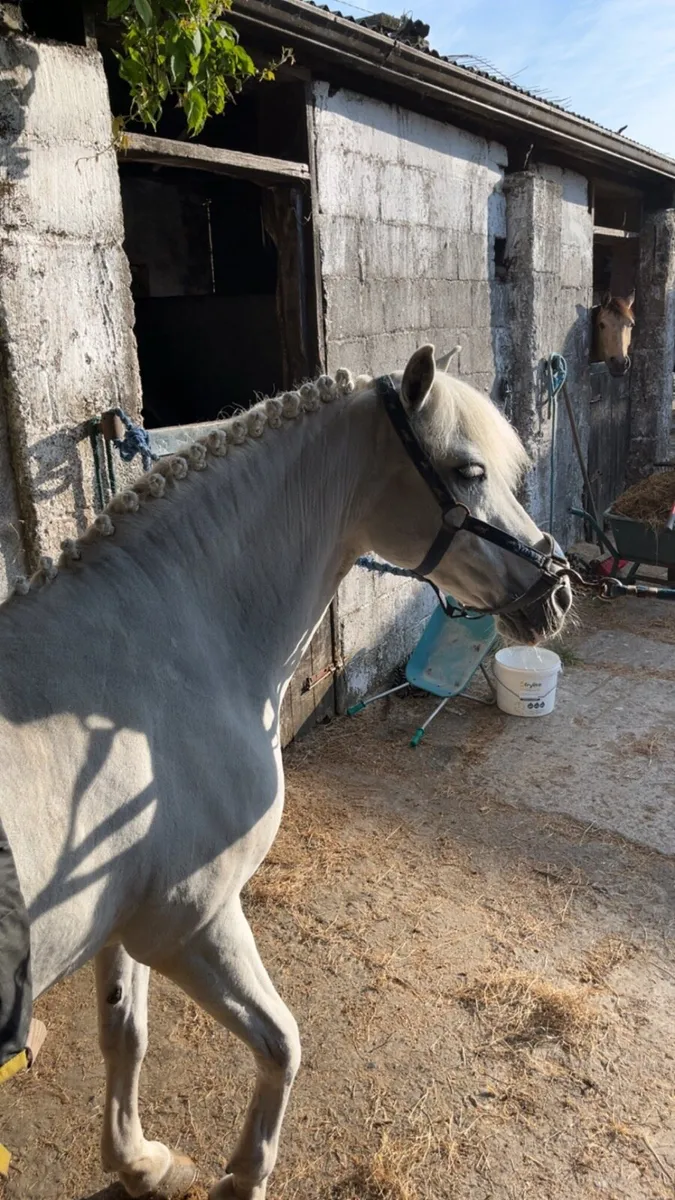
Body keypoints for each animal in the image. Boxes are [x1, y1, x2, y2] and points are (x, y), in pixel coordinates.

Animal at [0, 346, 573, 1200]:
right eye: (468, 471)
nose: (557, 591)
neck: (164, 649)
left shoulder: (126, 921)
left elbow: (124, 1033)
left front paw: (139, 1162)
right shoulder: (191, 922)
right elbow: (282, 1043)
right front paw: (242, 1177)